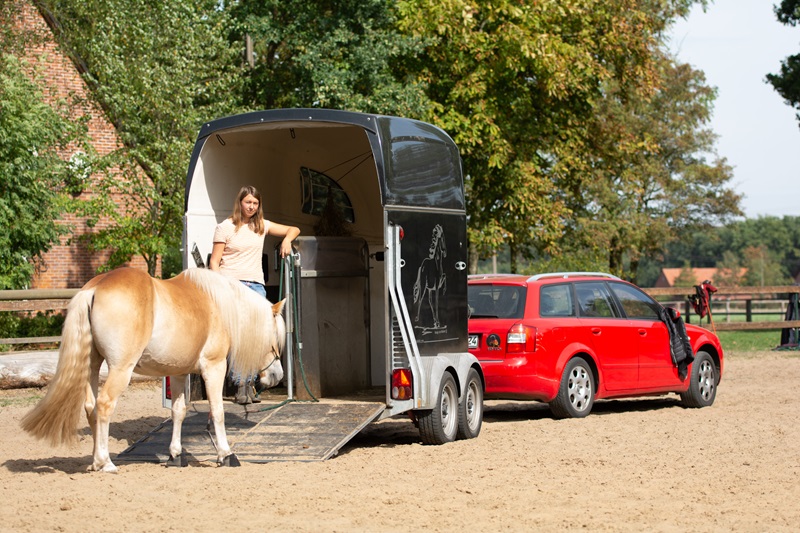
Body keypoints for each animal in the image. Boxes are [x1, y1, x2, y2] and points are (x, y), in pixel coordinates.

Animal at [19, 268, 284, 472]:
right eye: (275, 336)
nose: (276, 376)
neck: (217, 305)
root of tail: (94, 288)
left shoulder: (178, 373)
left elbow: (178, 412)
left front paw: (176, 455)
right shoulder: (213, 366)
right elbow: (217, 411)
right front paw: (225, 455)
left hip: (92, 366)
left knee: (91, 407)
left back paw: (95, 461)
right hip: (120, 369)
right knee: (104, 405)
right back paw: (105, 462)